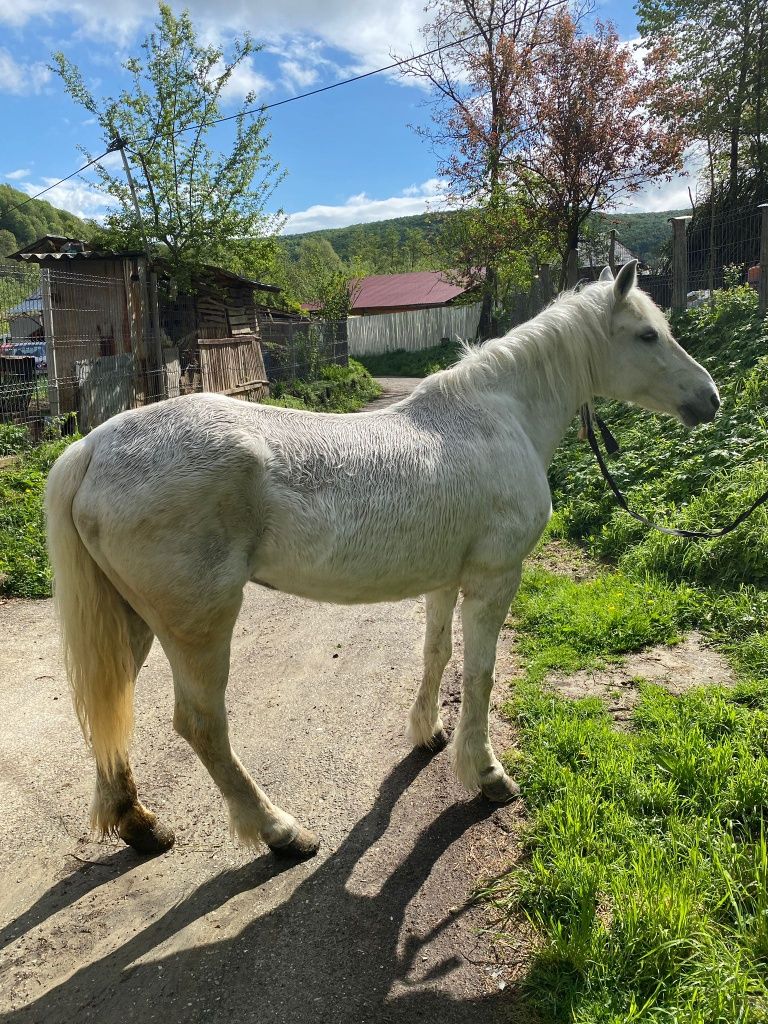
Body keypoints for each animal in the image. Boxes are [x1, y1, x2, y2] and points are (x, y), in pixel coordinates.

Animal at [45, 262, 720, 856]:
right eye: (647, 334)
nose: (709, 399)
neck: (498, 417)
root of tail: (94, 446)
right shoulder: (495, 578)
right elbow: (480, 674)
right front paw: (487, 776)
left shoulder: (446, 579)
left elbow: (437, 653)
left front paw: (428, 734)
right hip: (199, 625)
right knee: (202, 725)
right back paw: (280, 832)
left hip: (132, 620)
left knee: (110, 708)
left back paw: (140, 825)